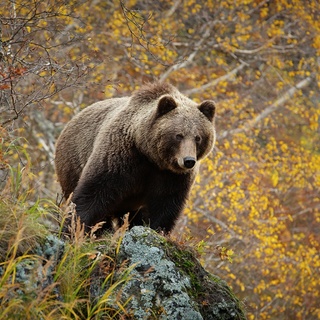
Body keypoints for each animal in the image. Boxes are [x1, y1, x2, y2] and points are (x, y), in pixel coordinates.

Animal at [55, 82, 216, 232]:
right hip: (72, 162)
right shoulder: (121, 157)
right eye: (179, 135)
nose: (188, 161)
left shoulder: (172, 176)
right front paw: (76, 226)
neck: (150, 156)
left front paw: (156, 229)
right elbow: (95, 191)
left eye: (198, 137)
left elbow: (165, 205)